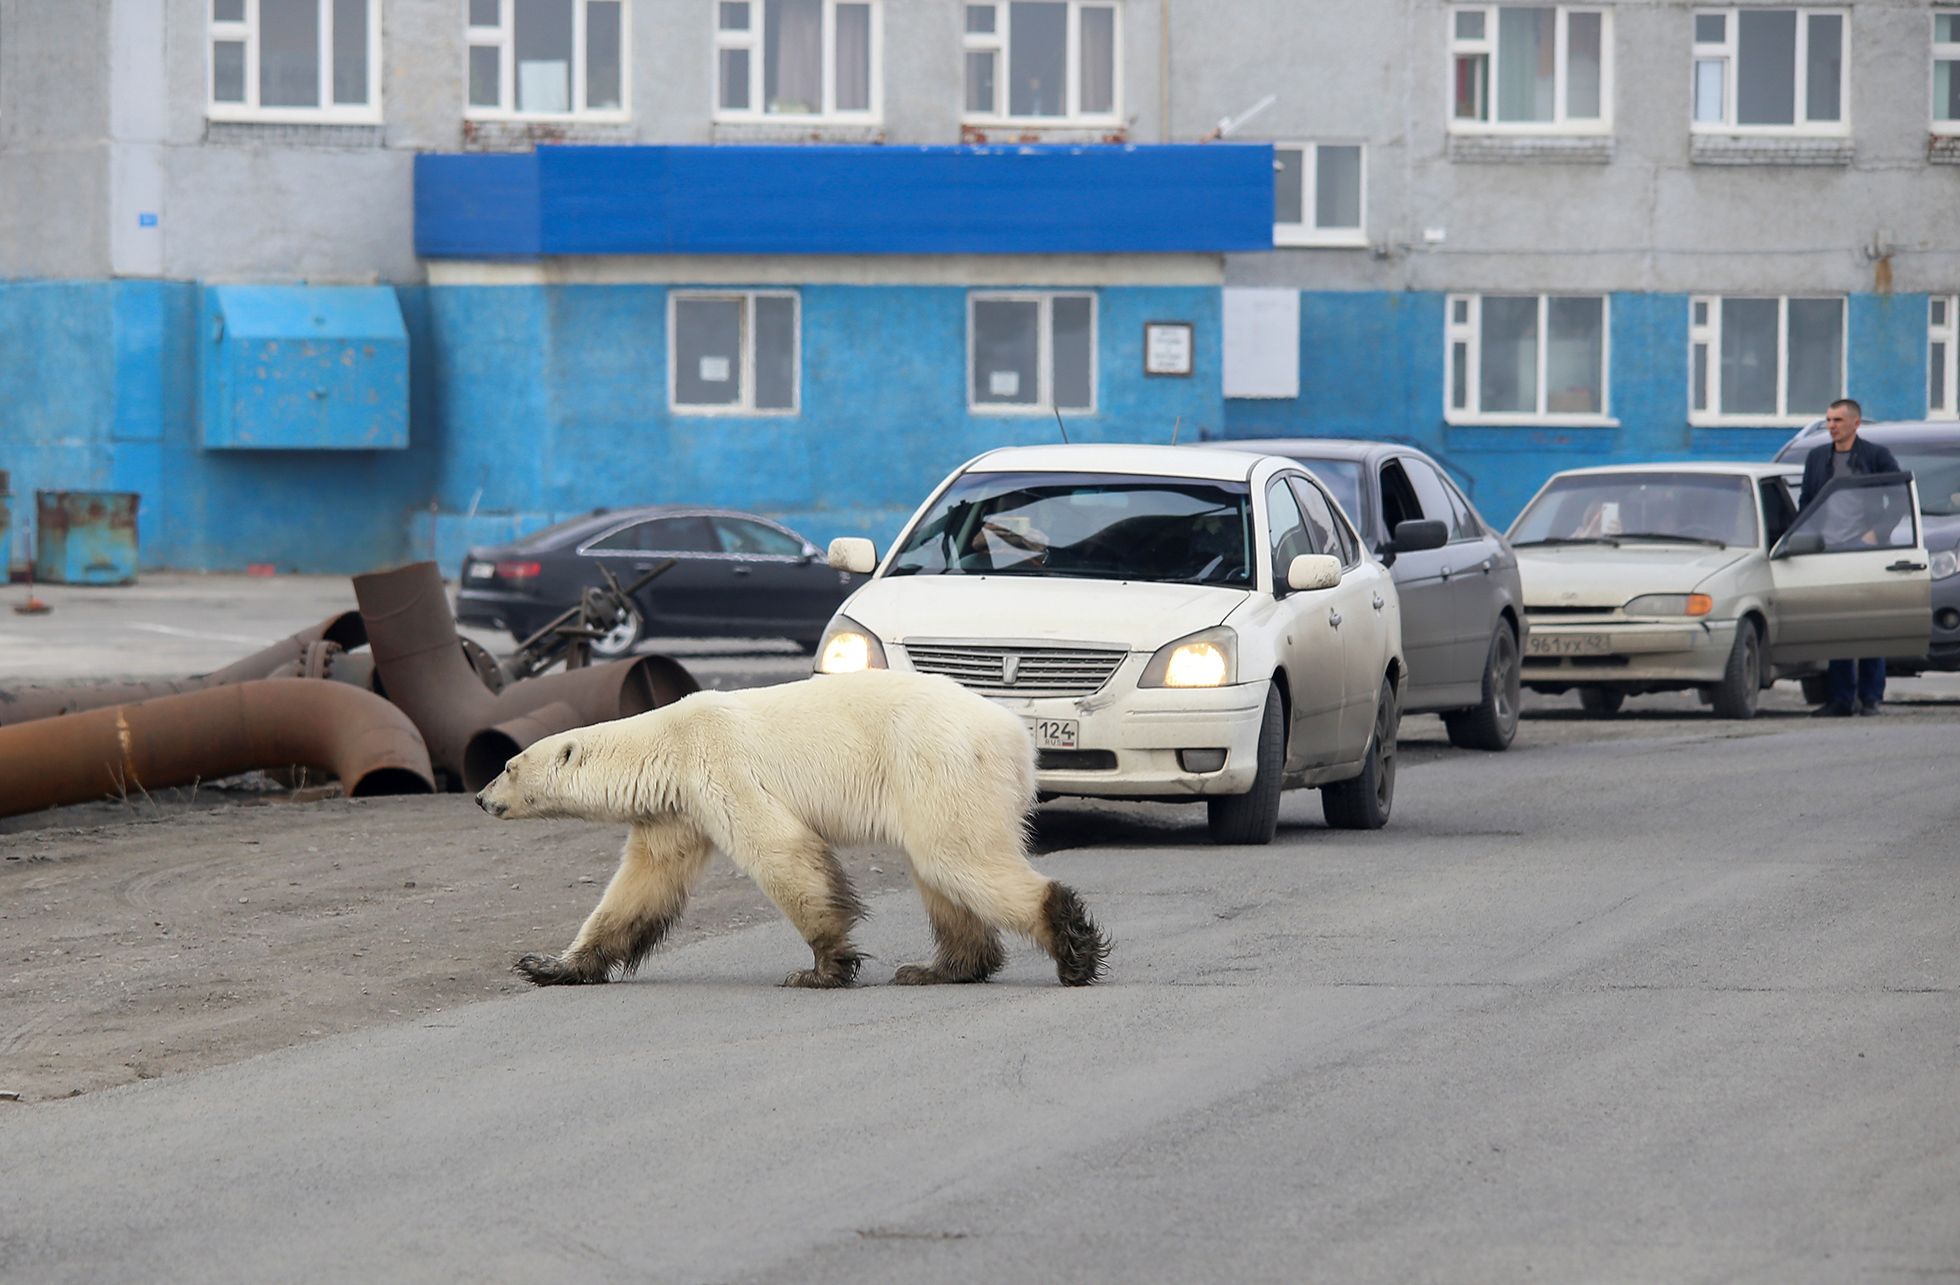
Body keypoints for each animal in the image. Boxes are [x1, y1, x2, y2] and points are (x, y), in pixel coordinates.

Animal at [474, 669, 1109, 989]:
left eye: (507, 765)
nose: (480, 797)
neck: (667, 742)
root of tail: (1015, 733)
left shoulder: (719, 765)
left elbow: (782, 851)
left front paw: (823, 968)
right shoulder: (675, 810)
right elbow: (640, 885)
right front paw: (548, 966)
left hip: (937, 762)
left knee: (957, 857)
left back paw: (1073, 948)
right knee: (941, 873)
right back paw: (937, 969)